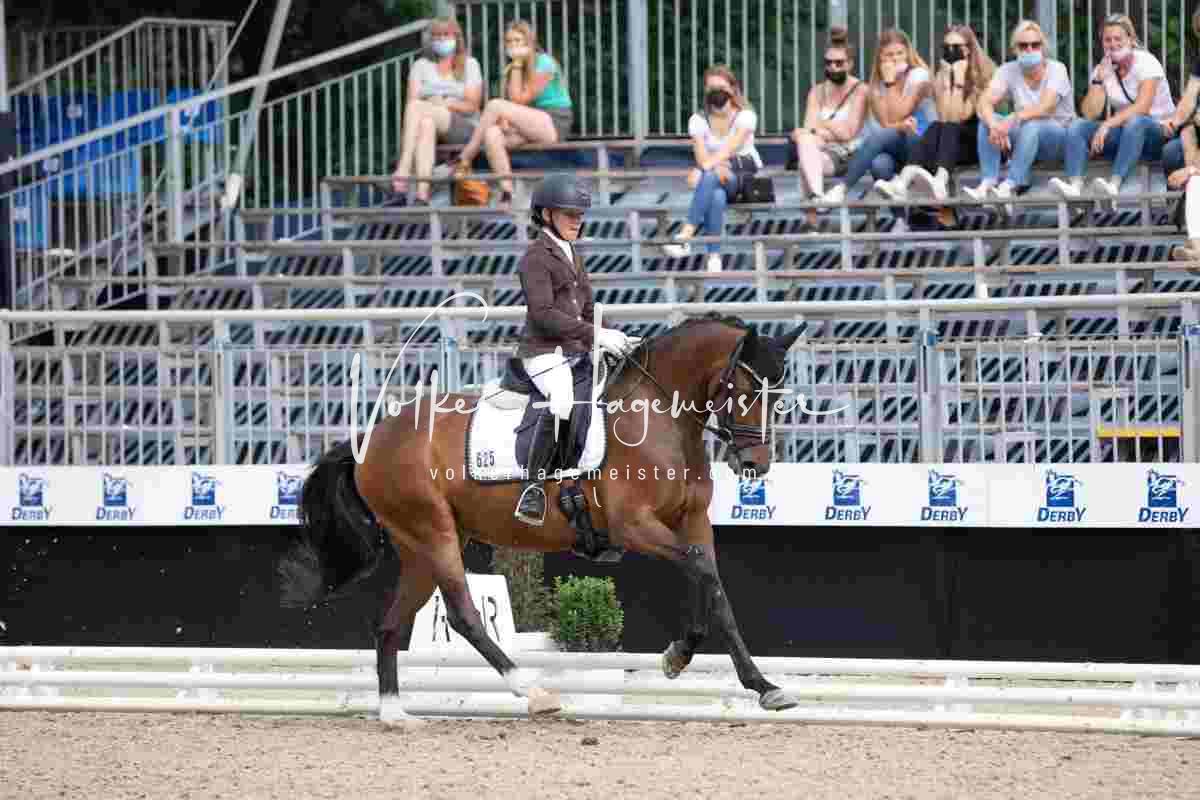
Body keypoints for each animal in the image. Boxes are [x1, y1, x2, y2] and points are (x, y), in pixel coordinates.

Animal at [278, 312, 805, 719]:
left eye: (778, 394)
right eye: (742, 389)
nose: (755, 465)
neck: (661, 417)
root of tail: (372, 438)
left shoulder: (693, 522)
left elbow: (712, 584)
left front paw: (734, 675)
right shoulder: (634, 526)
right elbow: (700, 569)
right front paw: (707, 664)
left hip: (419, 545)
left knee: (390, 624)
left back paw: (394, 713)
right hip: (433, 531)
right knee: (464, 614)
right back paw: (533, 692)